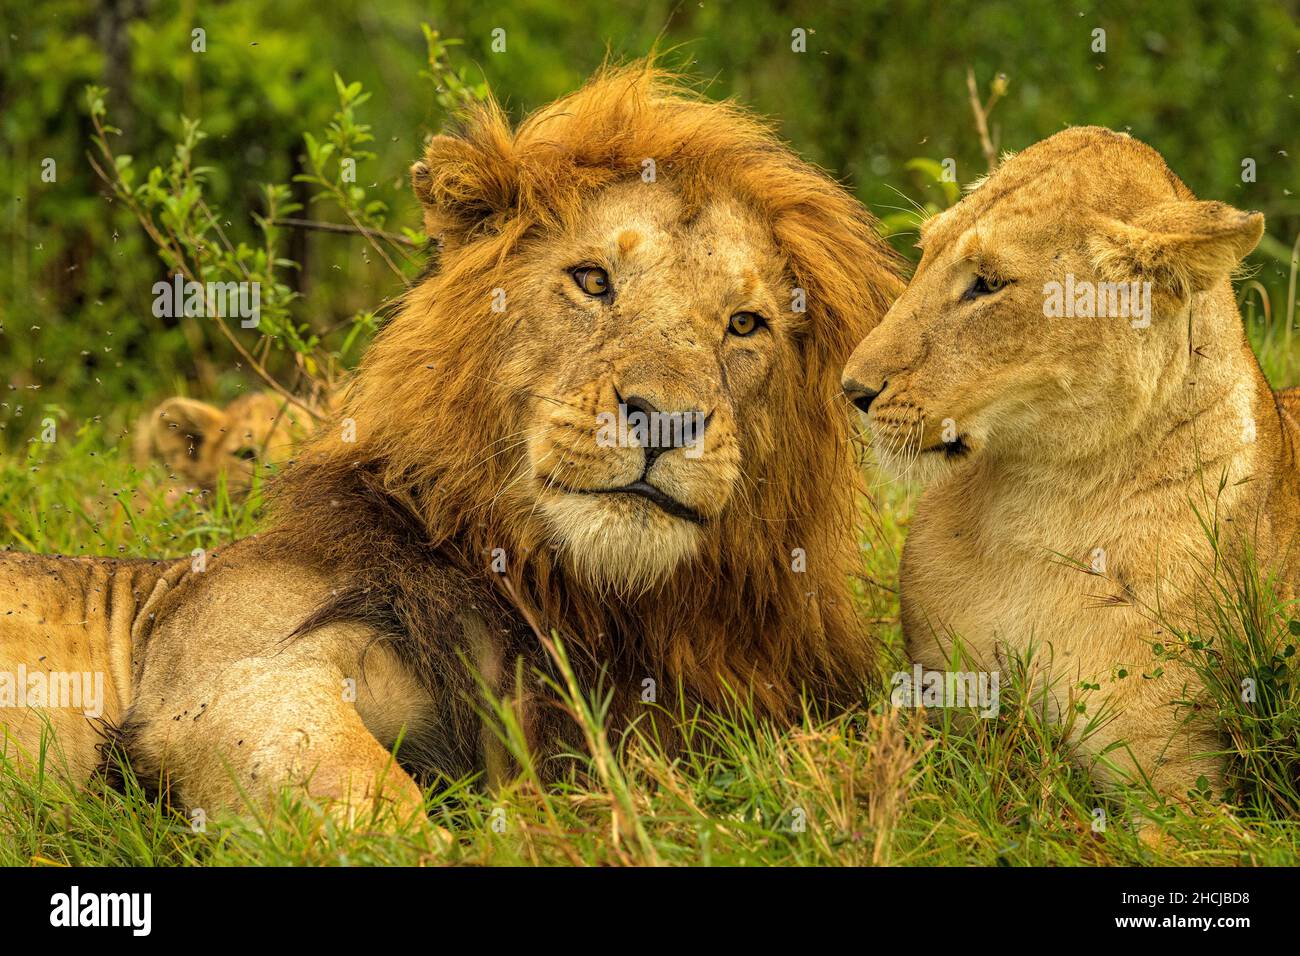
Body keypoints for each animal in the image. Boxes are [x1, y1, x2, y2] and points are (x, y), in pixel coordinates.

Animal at [0, 67, 904, 822]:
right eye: (593, 280)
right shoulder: (217, 680)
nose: (666, 419)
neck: (589, 607)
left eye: (745, 325)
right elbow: (378, 801)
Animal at [837, 127, 1294, 801]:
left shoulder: (1179, 784)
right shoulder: (942, 713)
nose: (853, 390)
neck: (1035, 507)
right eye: (925, 253)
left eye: (987, 284)